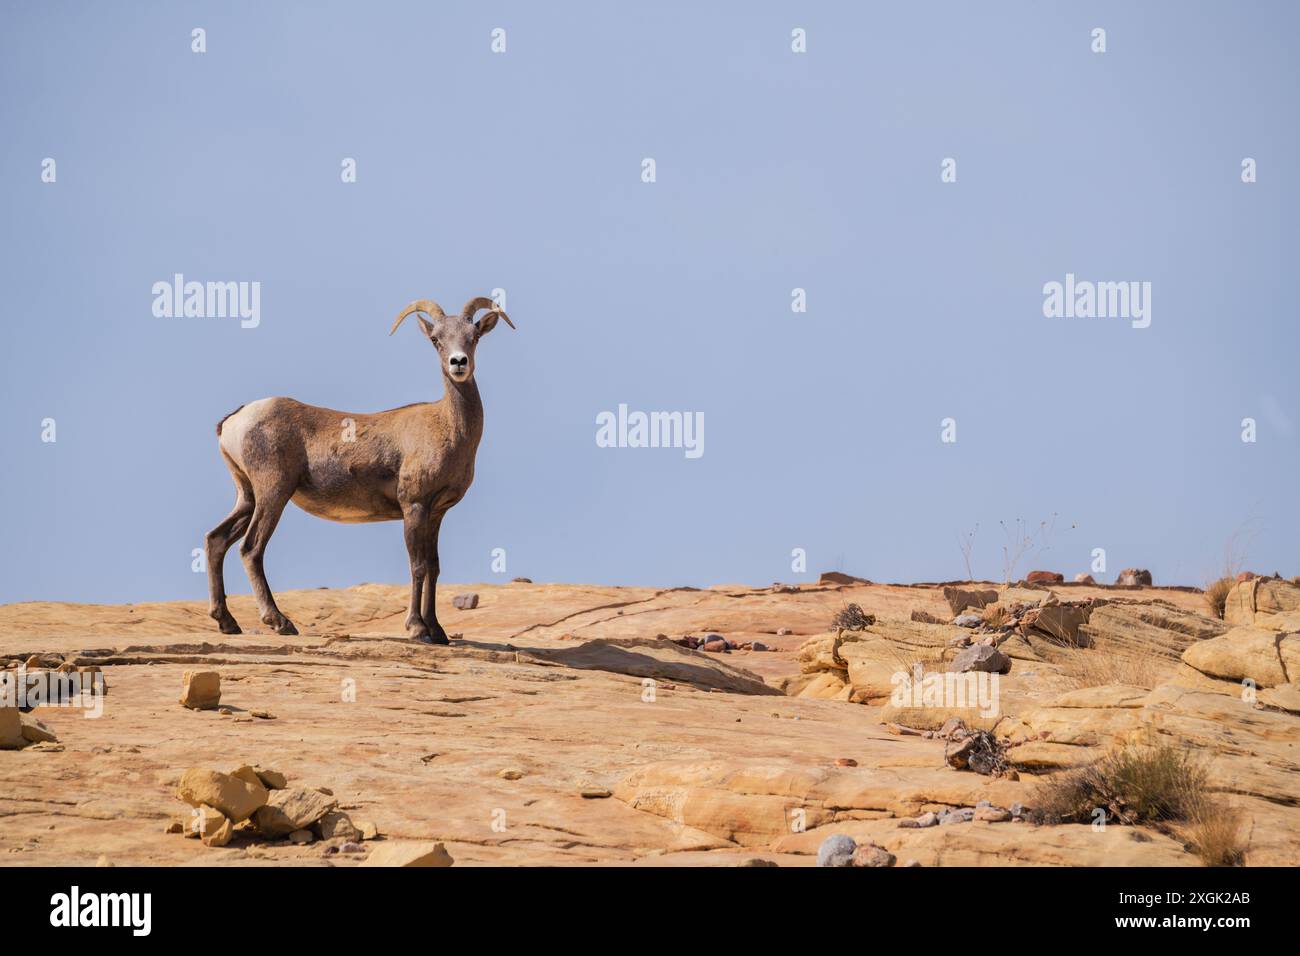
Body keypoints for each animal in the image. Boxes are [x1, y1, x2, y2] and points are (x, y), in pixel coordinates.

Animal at [202, 297, 512, 642]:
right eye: (436, 340)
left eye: (474, 336)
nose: (458, 363)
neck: (447, 427)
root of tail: (234, 421)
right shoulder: (414, 506)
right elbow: (418, 566)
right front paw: (418, 629)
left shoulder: (437, 513)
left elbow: (434, 567)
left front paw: (438, 632)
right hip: (273, 494)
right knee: (251, 549)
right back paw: (280, 622)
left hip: (247, 496)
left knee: (216, 540)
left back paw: (227, 622)